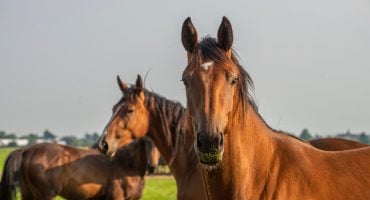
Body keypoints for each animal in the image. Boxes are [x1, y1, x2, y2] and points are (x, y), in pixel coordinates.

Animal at [0, 139, 158, 200]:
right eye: (146, 142)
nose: (153, 166)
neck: (125, 165)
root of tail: (26, 150)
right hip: (44, 195)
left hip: (28, 194)